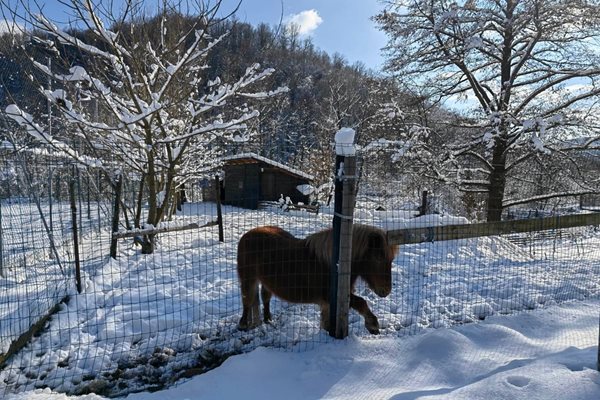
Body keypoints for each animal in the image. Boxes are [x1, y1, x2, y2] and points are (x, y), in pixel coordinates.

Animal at [236, 225, 398, 334]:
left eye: (391, 260)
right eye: (378, 258)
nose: (386, 291)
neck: (335, 265)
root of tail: (248, 234)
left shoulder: (329, 303)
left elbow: (327, 323)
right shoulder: (333, 297)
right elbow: (361, 302)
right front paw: (373, 325)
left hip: (266, 281)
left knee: (265, 297)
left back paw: (268, 319)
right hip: (248, 279)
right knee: (247, 300)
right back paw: (243, 325)